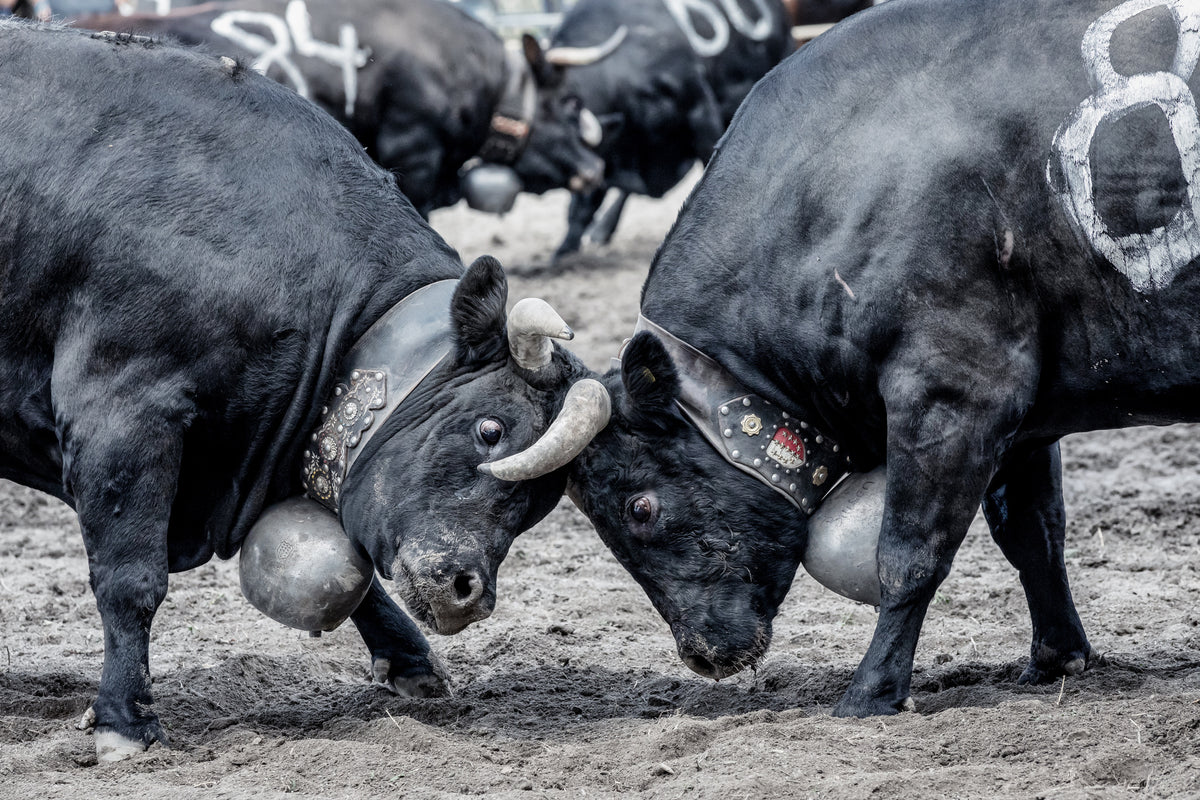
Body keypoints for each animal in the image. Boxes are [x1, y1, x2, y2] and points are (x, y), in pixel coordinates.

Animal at [0, 21, 596, 760]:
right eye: (489, 429)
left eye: (541, 503)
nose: (469, 592)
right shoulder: (120, 410)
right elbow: (130, 579)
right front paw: (124, 719)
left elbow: (354, 569)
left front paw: (412, 660)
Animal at [481, 0, 1200, 716]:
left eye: (640, 508)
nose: (703, 655)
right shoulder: (1025, 420)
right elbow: (1033, 537)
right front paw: (1055, 658)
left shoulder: (955, 393)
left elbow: (909, 554)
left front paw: (871, 690)